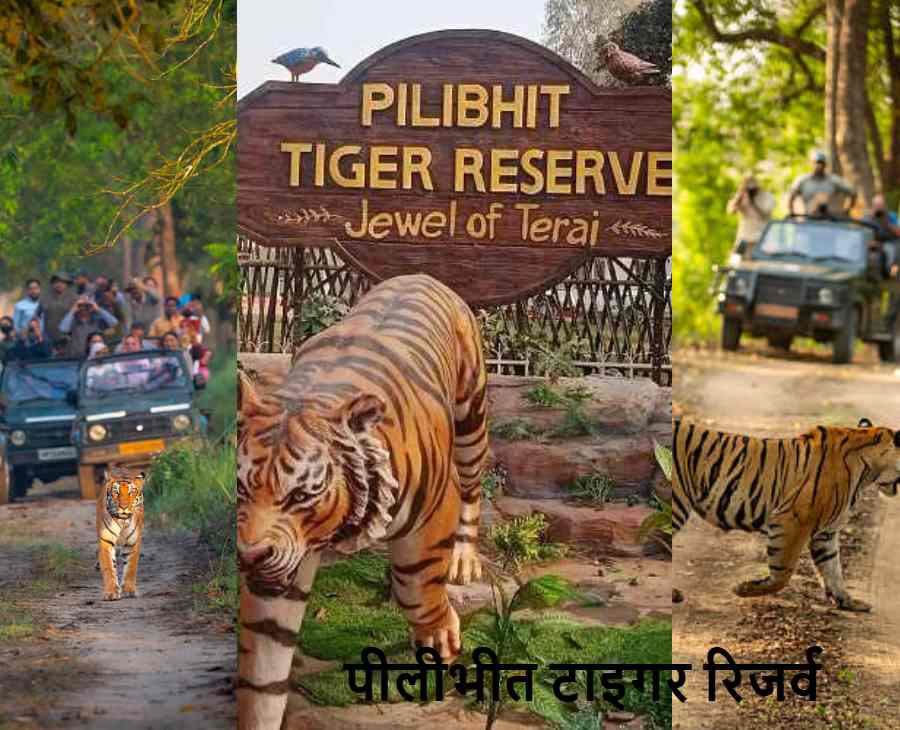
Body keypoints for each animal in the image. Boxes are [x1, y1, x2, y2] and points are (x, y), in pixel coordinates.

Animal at [96, 466, 146, 601]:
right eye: (116, 492)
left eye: (131, 492)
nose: (124, 507)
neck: (122, 522)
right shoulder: (106, 541)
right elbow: (108, 567)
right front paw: (111, 592)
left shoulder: (133, 543)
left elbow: (131, 568)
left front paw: (129, 590)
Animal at [236, 273, 489, 730]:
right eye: (243, 489)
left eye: (302, 495)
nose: (249, 556)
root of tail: (423, 275)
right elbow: (262, 673)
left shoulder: (433, 509)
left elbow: (416, 583)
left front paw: (439, 633)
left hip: (471, 419)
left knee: (473, 487)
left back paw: (463, 559)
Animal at [673, 417, 900, 611]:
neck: (867, 472)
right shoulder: (792, 520)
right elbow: (783, 573)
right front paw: (744, 588)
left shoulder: (826, 533)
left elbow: (833, 568)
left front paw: (848, 601)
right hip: (677, 504)